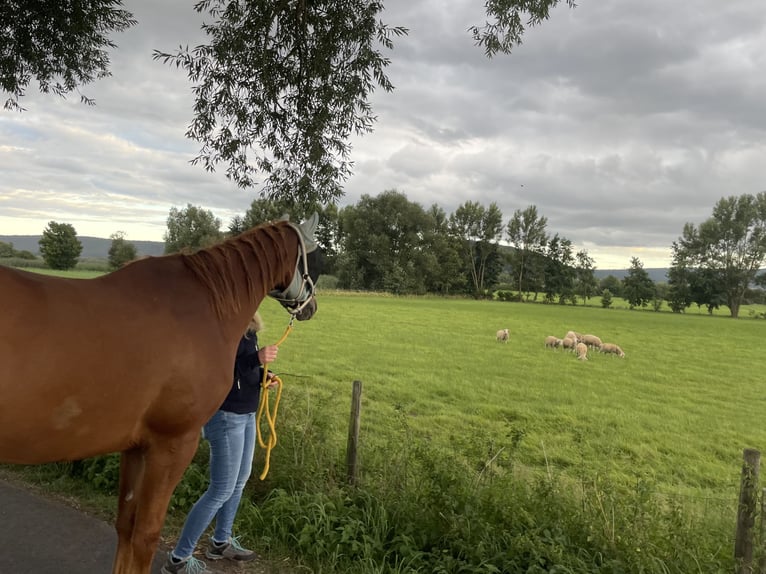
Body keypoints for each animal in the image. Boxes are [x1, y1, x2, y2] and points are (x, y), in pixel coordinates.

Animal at [0, 214, 320, 574]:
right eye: (317, 255)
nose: (312, 306)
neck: (206, 306)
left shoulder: (135, 447)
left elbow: (126, 525)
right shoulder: (173, 443)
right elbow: (147, 535)